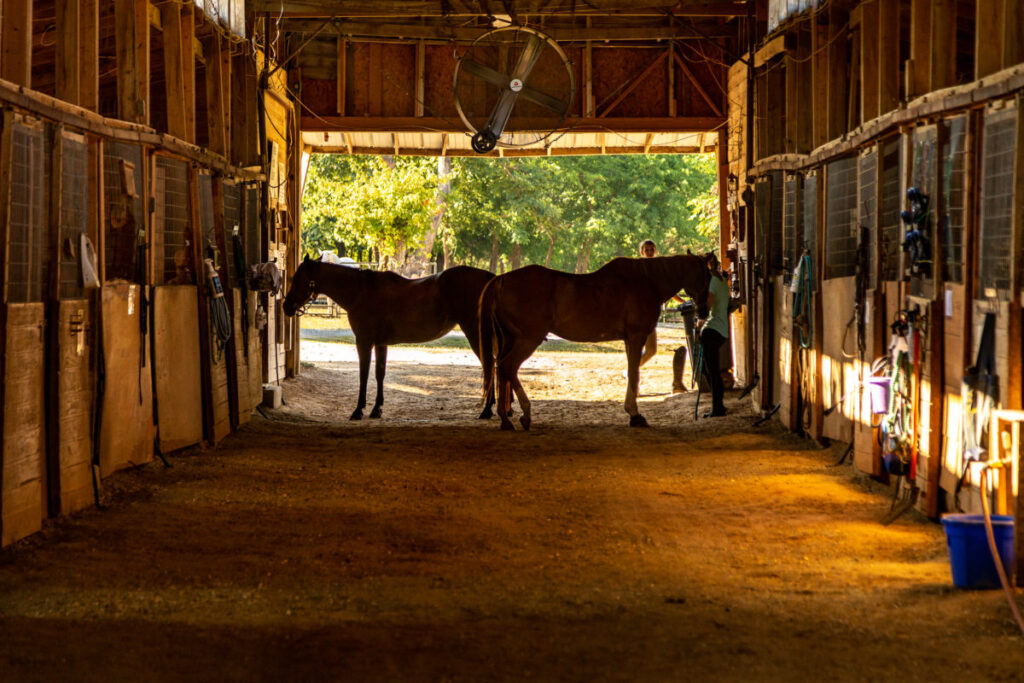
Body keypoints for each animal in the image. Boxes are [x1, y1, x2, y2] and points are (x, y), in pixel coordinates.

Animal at [286, 253, 497, 419]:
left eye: (297, 279)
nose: (286, 306)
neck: (361, 292)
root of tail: (490, 279)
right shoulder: (381, 343)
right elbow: (380, 373)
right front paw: (376, 409)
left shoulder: (364, 342)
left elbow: (364, 375)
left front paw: (358, 410)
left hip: (475, 334)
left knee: (489, 365)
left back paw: (486, 410)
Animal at [479, 253, 712, 430]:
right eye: (707, 275)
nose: (703, 311)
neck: (647, 281)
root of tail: (501, 280)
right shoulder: (636, 337)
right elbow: (634, 373)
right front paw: (635, 415)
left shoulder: (629, 340)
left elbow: (632, 372)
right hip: (528, 339)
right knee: (508, 366)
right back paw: (524, 414)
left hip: (511, 339)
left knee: (502, 369)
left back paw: (505, 419)